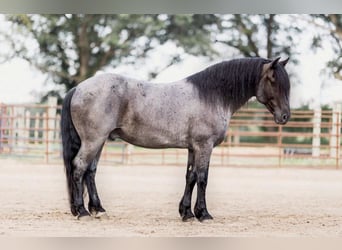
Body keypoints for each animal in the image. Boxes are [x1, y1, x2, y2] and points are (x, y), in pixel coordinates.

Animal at [60, 56, 290, 221]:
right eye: (273, 80)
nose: (285, 116)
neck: (212, 96)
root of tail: (78, 88)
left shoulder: (193, 148)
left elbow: (190, 177)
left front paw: (187, 213)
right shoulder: (204, 146)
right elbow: (203, 178)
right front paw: (203, 214)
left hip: (99, 141)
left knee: (90, 171)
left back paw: (98, 209)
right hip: (93, 141)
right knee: (79, 167)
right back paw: (82, 211)